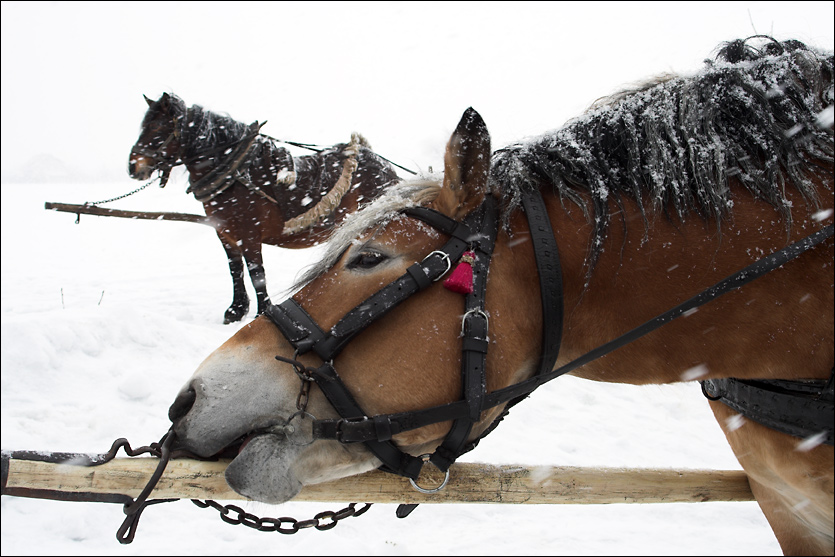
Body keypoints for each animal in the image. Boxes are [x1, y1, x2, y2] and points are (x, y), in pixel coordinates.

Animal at [129, 94, 404, 324]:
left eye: (157, 127)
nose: (133, 167)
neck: (235, 175)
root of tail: (382, 164)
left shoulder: (249, 235)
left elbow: (256, 274)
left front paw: (262, 311)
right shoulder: (225, 234)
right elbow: (235, 270)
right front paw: (236, 310)